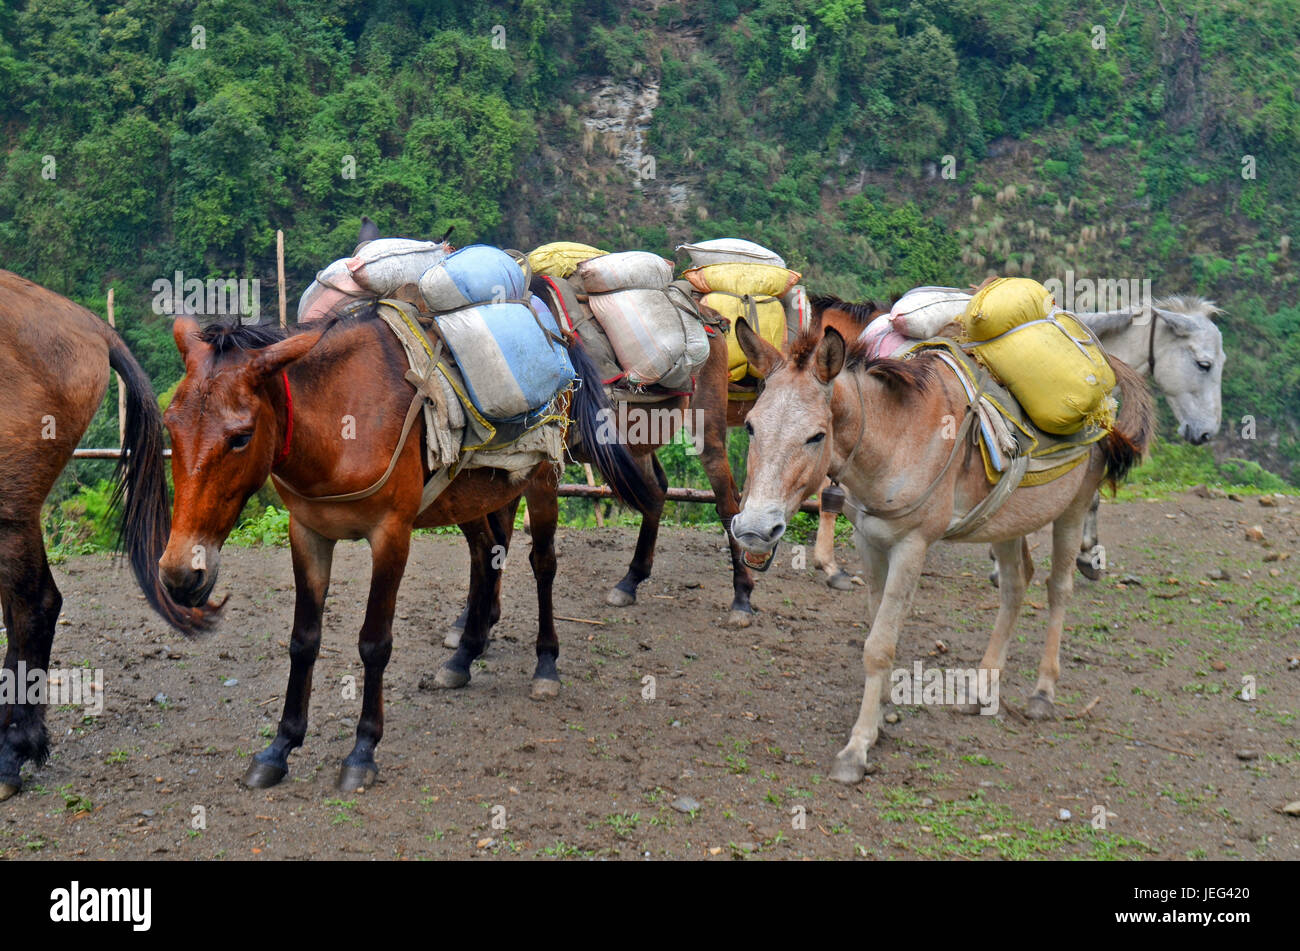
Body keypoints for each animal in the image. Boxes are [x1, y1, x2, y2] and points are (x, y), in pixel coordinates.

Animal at [159, 307, 650, 789]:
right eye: (170, 426)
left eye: (241, 436)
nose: (180, 574)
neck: (340, 418)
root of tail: (552, 329)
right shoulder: (308, 534)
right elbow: (303, 641)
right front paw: (280, 747)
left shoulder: (391, 534)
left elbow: (374, 642)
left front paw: (362, 751)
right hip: (469, 497)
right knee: (486, 556)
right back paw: (464, 656)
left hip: (541, 479)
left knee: (542, 564)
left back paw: (546, 663)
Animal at [728, 315, 1154, 784]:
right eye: (750, 426)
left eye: (816, 436)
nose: (754, 529)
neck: (898, 437)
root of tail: (1107, 369)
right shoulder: (869, 540)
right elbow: (876, 627)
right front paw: (882, 714)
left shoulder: (912, 546)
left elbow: (879, 646)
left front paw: (857, 748)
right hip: (1007, 518)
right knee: (1015, 584)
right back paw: (983, 689)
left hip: (1074, 509)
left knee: (1058, 588)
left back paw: (1043, 693)